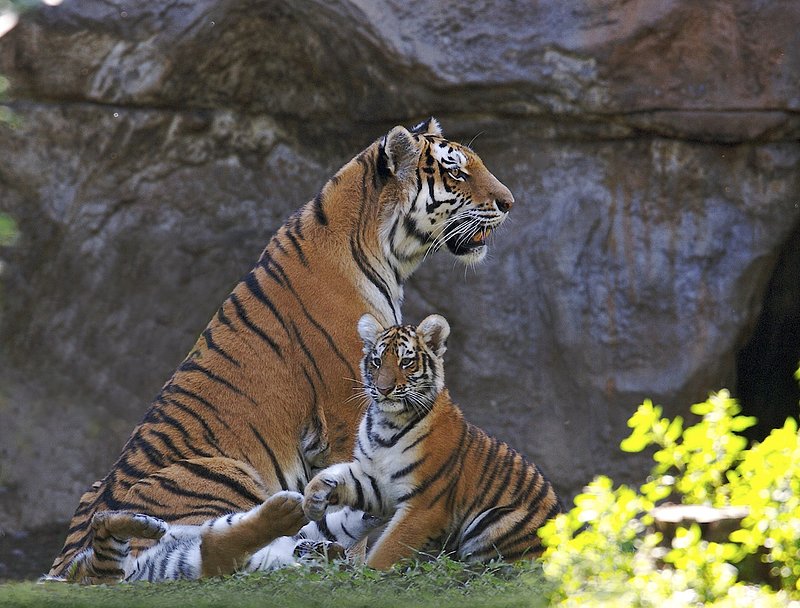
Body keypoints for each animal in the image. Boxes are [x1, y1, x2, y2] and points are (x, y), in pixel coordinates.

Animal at [45, 492, 383, 584]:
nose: (333, 553)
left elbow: (344, 524)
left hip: (108, 569)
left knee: (102, 531)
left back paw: (144, 525)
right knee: (100, 527)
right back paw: (147, 525)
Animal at [302, 313, 563, 570]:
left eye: (405, 362)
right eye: (377, 361)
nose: (384, 389)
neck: (386, 423)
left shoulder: (425, 504)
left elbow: (387, 551)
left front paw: (367, 576)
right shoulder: (376, 481)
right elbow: (334, 476)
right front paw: (312, 501)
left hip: (497, 518)